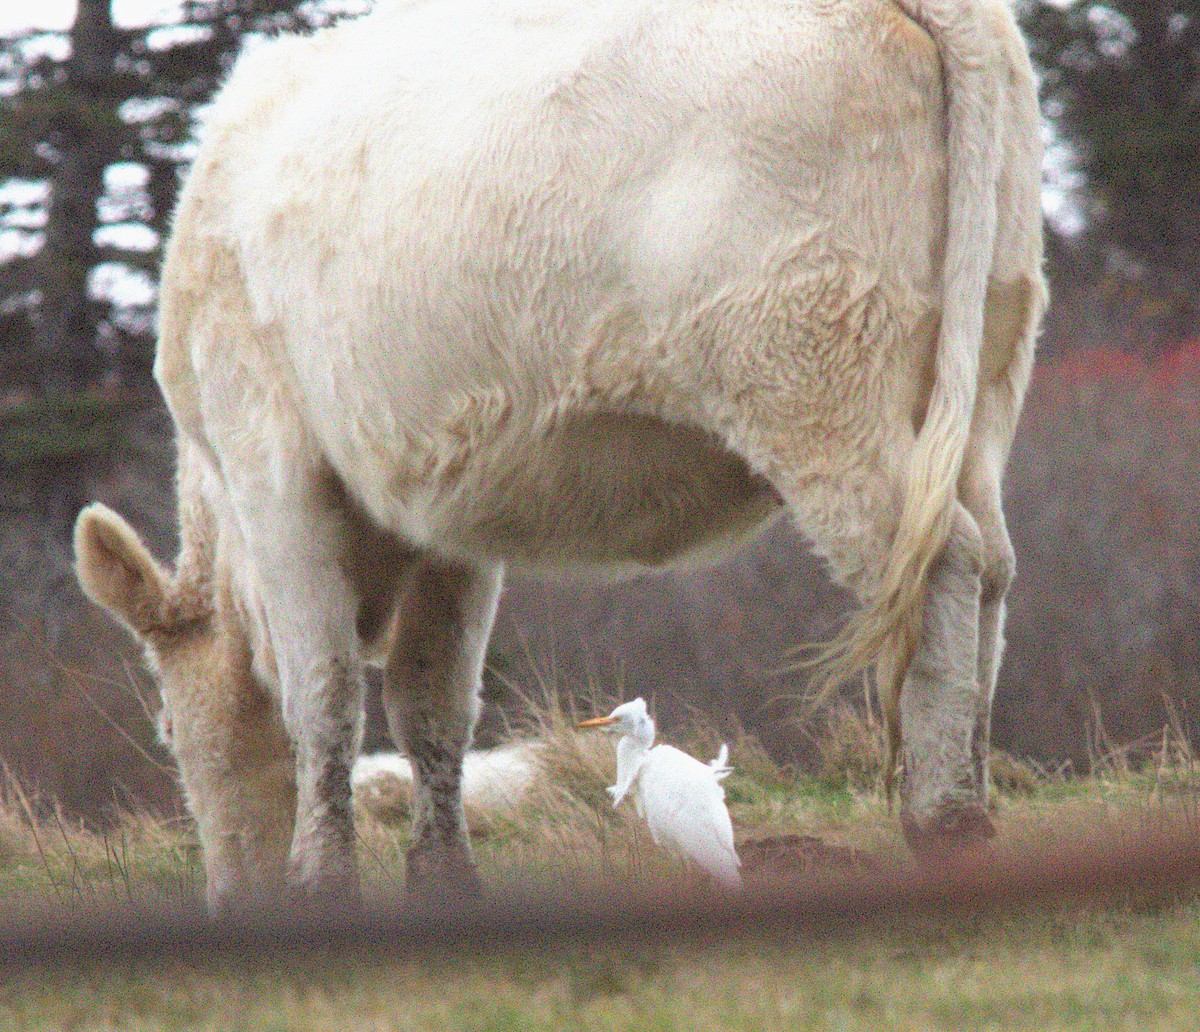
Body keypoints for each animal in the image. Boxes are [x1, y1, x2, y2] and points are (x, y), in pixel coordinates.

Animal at [73, 0, 1045, 915]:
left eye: (168, 730)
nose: (229, 897)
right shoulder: (443, 510)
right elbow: (433, 701)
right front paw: (444, 882)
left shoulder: (273, 469)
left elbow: (324, 693)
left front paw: (321, 885)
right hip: (984, 373)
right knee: (993, 570)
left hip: (816, 374)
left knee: (938, 564)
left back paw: (946, 822)